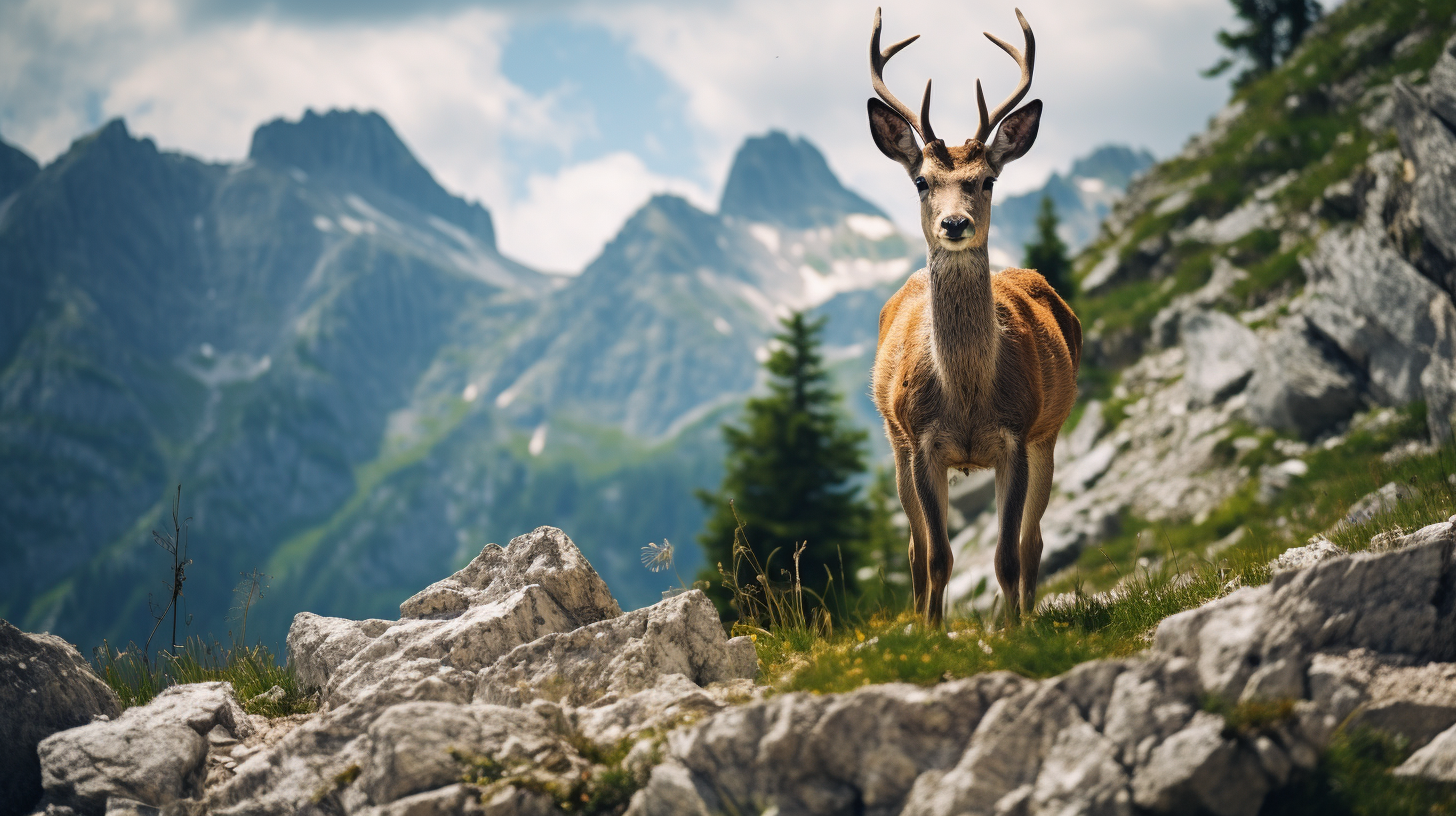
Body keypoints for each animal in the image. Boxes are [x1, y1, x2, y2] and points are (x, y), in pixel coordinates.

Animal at [861, 7, 1083, 623]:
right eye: (921, 181)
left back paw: (1026, 614)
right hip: (894, 443)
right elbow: (938, 557)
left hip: (1050, 435)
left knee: (1033, 543)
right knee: (915, 549)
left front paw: (1013, 633)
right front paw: (931, 633)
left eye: (987, 179)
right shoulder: (920, 442)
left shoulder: (1018, 436)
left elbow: (1007, 555)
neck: (964, 397)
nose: (955, 223)